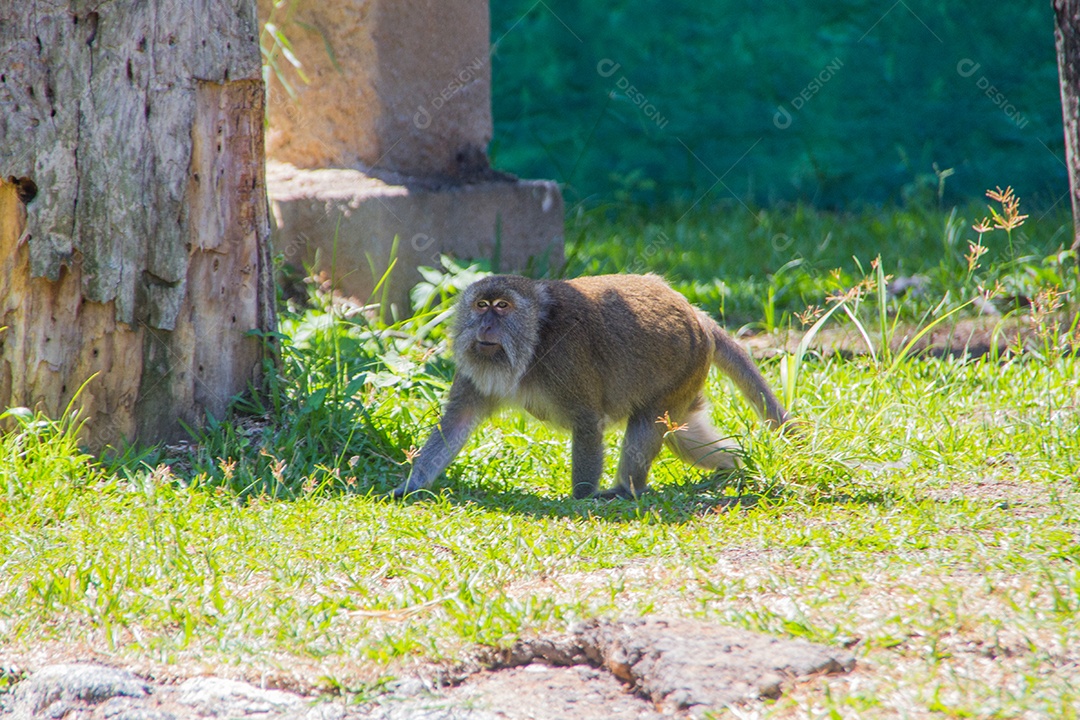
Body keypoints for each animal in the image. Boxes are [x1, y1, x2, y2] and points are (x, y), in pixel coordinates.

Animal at [392, 273, 790, 500]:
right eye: (480, 306)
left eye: (502, 306)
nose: (485, 326)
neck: (533, 341)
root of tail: (698, 316)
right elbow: (457, 421)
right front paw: (411, 485)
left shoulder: (564, 359)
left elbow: (586, 423)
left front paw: (580, 498)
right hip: (688, 382)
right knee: (683, 438)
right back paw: (733, 465)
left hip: (685, 365)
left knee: (647, 423)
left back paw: (625, 490)